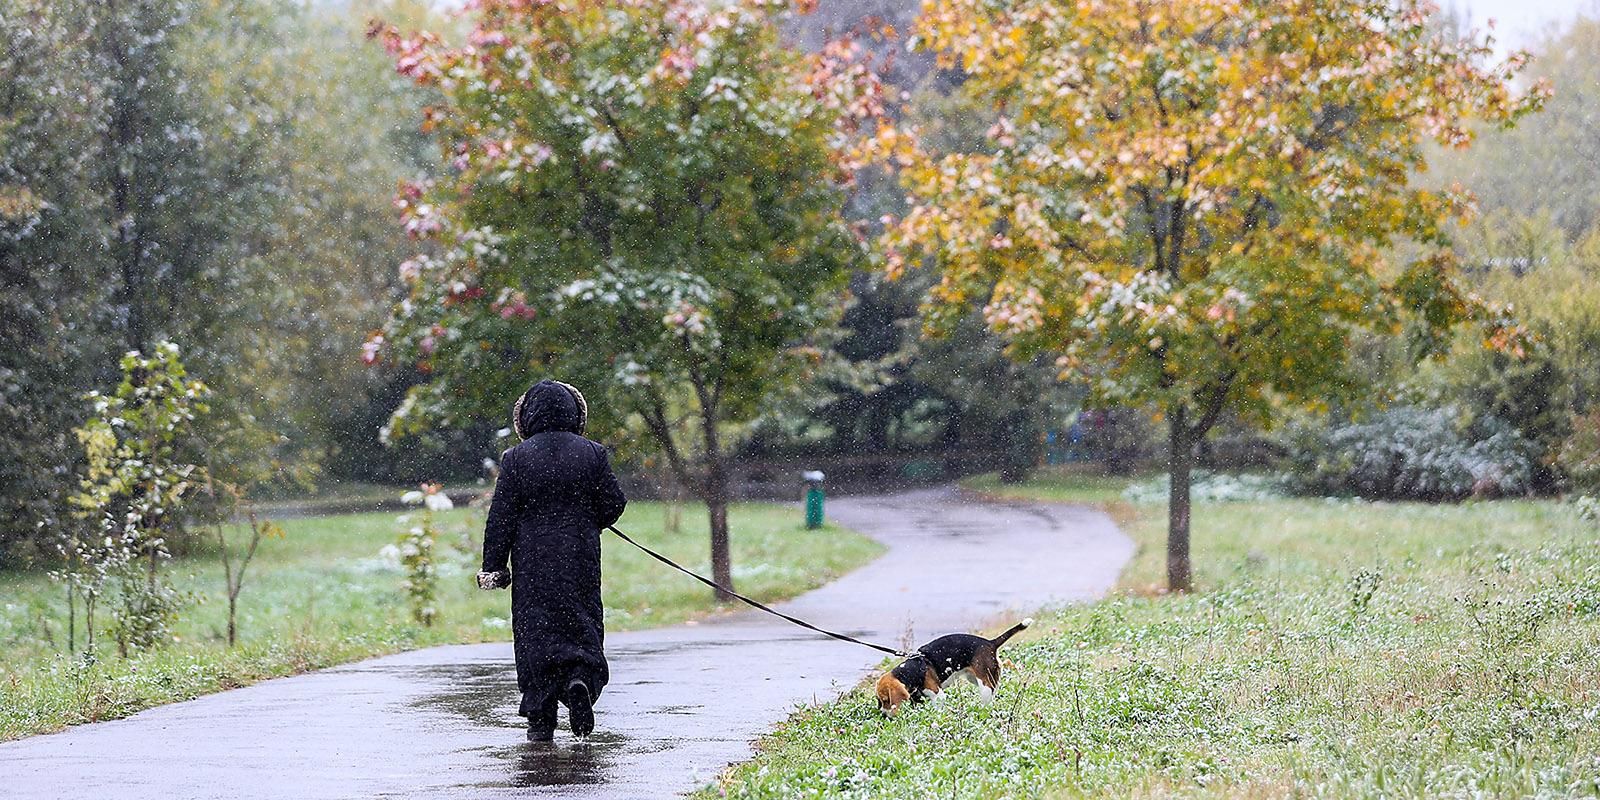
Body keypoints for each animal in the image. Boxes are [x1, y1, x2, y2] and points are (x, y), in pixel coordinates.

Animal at [876, 620, 1036, 716]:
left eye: (886, 700)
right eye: (879, 700)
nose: (883, 715)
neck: (912, 669)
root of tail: (990, 643)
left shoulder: (938, 696)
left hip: (984, 685)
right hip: (978, 678)